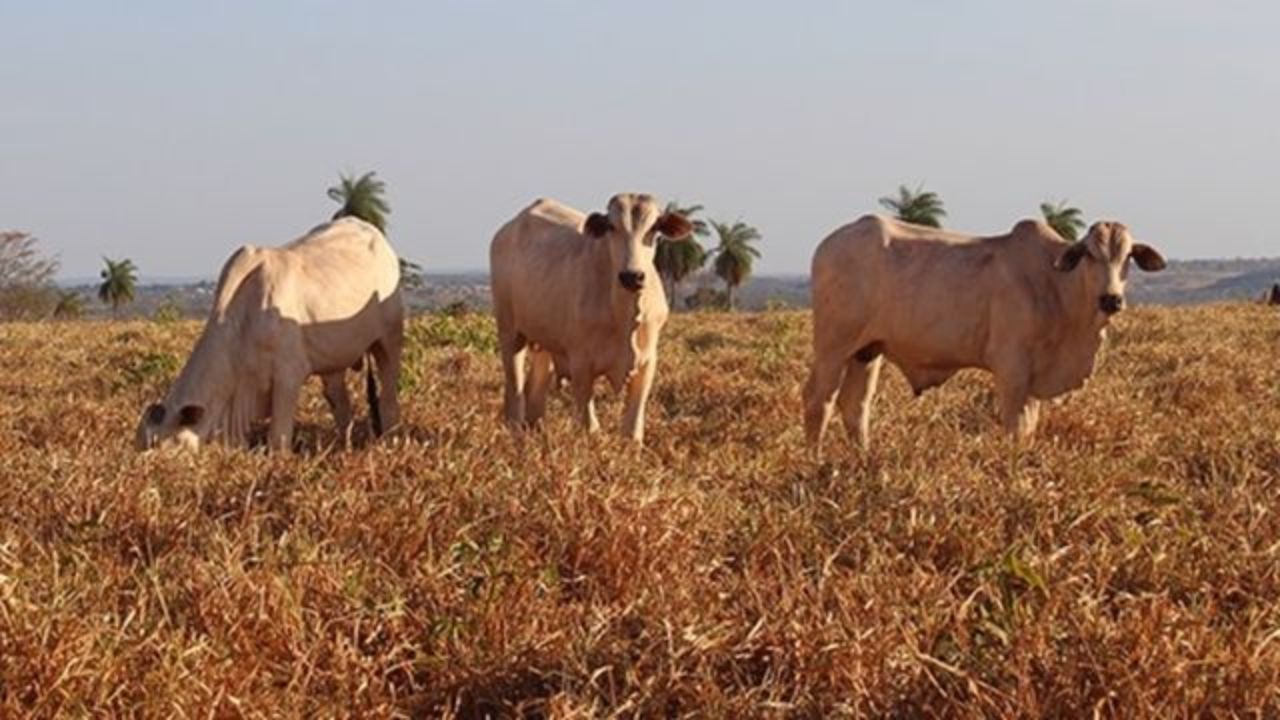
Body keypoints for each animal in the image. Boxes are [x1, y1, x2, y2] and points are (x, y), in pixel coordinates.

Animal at [137, 215, 401, 448]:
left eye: (163, 443)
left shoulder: (288, 376)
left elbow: (278, 439)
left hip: (389, 340)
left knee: (388, 399)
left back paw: (390, 442)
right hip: (333, 363)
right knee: (341, 406)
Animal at [486, 193, 691, 440]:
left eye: (654, 228)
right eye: (611, 226)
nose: (632, 276)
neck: (624, 317)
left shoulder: (647, 363)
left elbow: (632, 430)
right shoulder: (581, 365)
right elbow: (589, 426)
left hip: (545, 343)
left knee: (534, 391)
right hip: (510, 332)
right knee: (514, 392)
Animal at [803, 212, 1167, 448]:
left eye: (1128, 257)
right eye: (1090, 254)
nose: (1111, 299)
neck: (1056, 285)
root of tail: (828, 244)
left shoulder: (1032, 382)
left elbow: (1029, 428)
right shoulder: (1012, 369)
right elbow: (1015, 428)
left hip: (867, 351)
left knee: (855, 405)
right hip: (833, 345)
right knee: (818, 401)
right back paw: (816, 461)